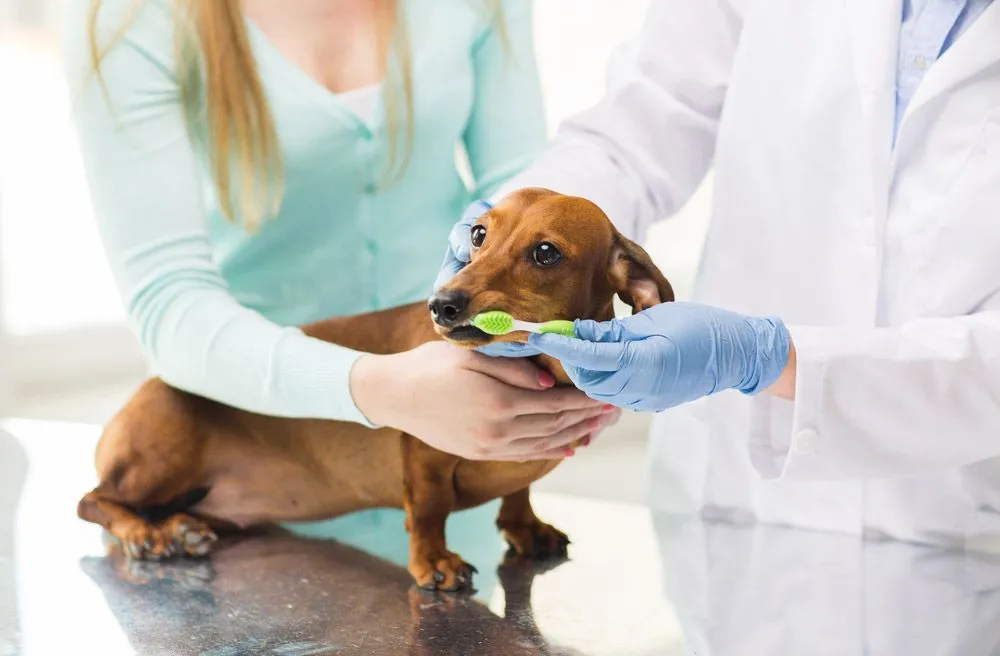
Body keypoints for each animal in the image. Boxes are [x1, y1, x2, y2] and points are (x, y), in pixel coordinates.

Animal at [76, 187, 672, 592]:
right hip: (160, 457)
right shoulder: (426, 455)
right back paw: (148, 534)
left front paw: (524, 527)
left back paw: (181, 528)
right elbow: (429, 510)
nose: (442, 304)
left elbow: (518, 489)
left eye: (546, 252)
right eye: (479, 234)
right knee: (94, 501)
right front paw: (434, 563)